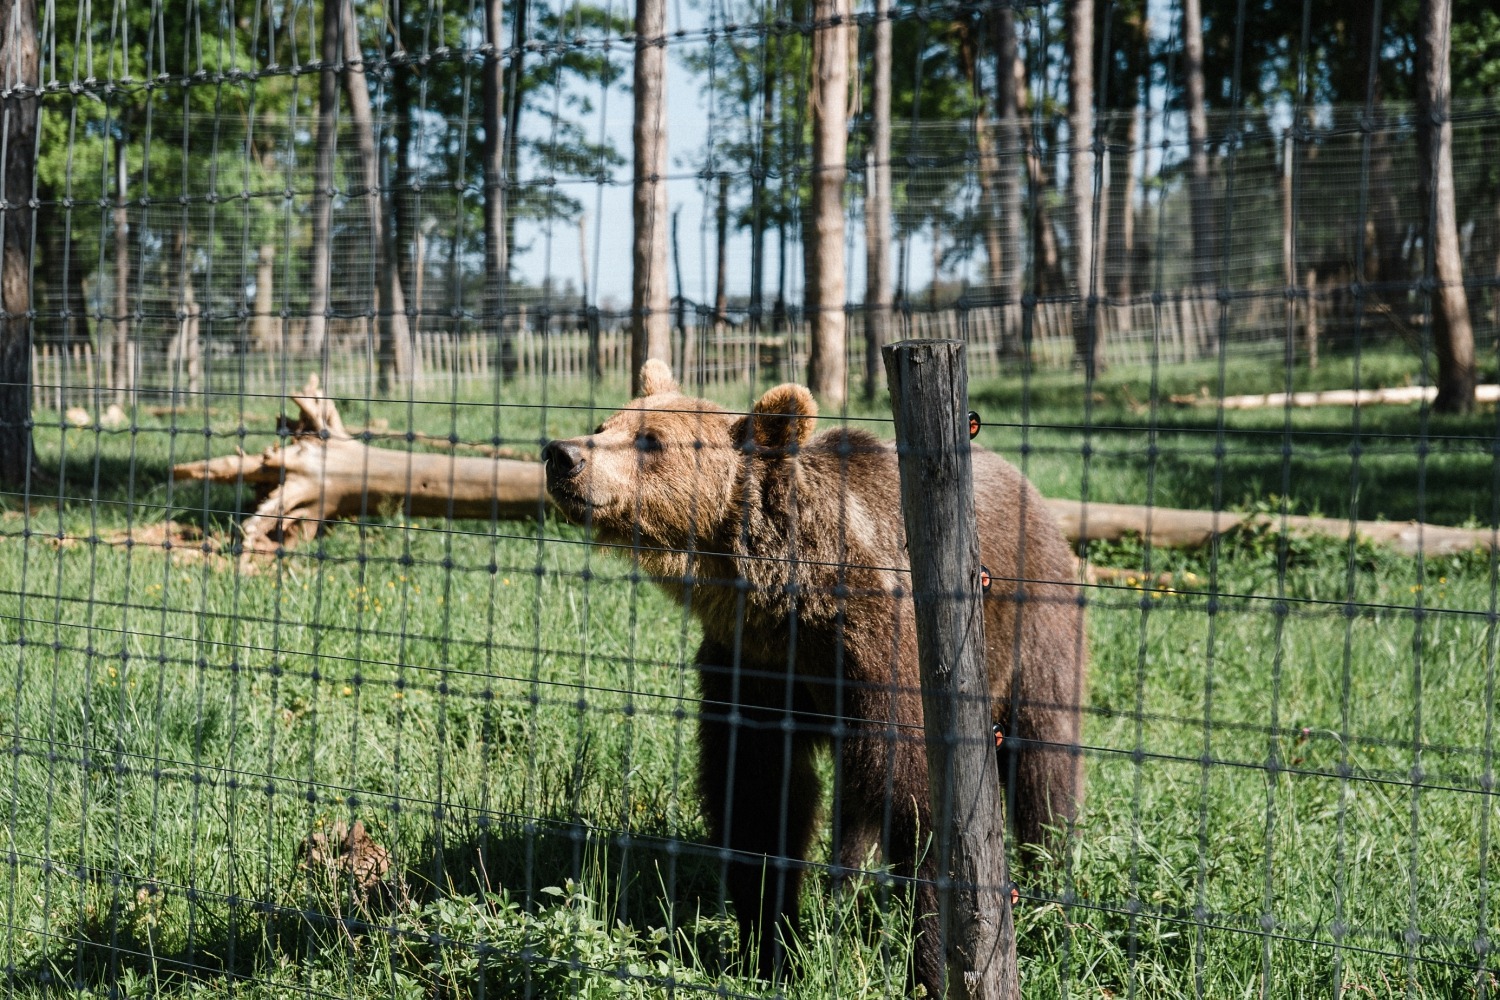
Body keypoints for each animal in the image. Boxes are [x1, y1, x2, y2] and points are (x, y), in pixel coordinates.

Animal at [546, 359, 1086, 995]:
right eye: (605, 424)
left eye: (650, 441)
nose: (562, 454)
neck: (794, 601)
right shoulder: (753, 669)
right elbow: (757, 794)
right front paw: (768, 944)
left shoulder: (883, 655)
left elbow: (919, 804)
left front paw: (931, 965)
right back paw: (842, 886)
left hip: (1035, 624)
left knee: (1042, 758)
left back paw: (1050, 879)